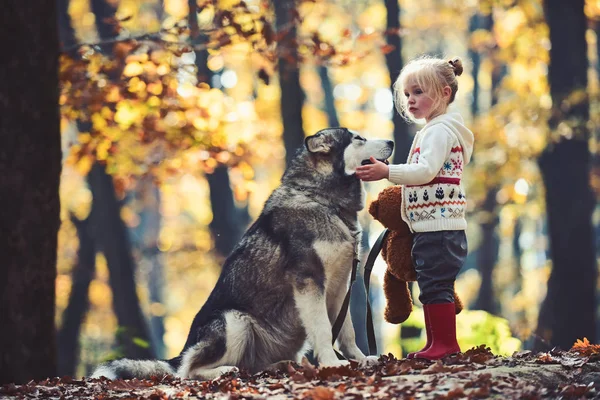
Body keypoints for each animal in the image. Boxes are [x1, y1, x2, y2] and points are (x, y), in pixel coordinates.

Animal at [91, 128, 394, 382]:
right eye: (358, 139)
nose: (391, 141)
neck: (323, 201)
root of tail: (179, 353)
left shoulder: (341, 285)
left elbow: (346, 331)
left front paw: (360, 359)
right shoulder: (309, 281)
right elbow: (322, 328)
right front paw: (332, 363)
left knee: (250, 366)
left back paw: (281, 365)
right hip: (234, 320)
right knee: (188, 371)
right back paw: (223, 370)